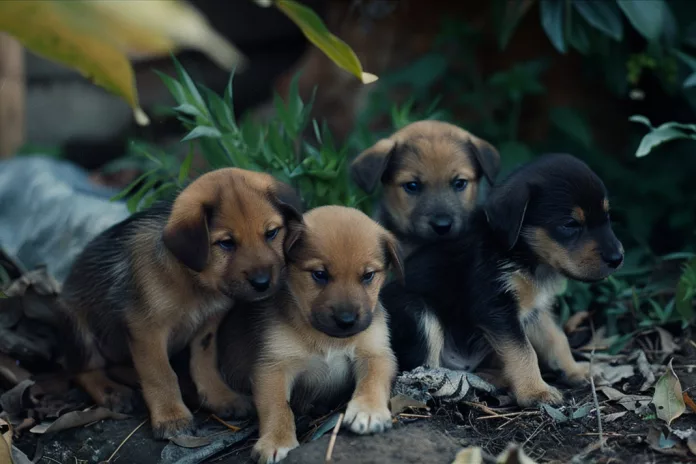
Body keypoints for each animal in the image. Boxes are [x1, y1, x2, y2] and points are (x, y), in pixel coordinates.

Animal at [56, 168, 302, 438]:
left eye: (271, 233)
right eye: (226, 243)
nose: (262, 283)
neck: (195, 283)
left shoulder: (208, 326)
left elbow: (204, 364)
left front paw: (221, 397)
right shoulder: (146, 329)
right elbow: (161, 374)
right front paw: (171, 417)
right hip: (78, 329)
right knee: (80, 369)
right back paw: (112, 392)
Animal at [218, 207, 402, 464]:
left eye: (368, 276)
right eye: (320, 274)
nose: (346, 321)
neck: (329, 339)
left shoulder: (376, 354)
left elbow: (372, 382)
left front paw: (368, 410)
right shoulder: (273, 367)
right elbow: (277, 407)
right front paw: (276, 440)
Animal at [380, 155, 624, 406]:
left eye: (607, 216)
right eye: (570, 224)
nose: (618, 258)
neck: (520, 254)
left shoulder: (535, 310)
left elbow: (557, 340)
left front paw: (576, 371)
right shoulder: (496, 308)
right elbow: (524, 351)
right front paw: (535, 392)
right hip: (417, 312)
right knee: (421, 371)